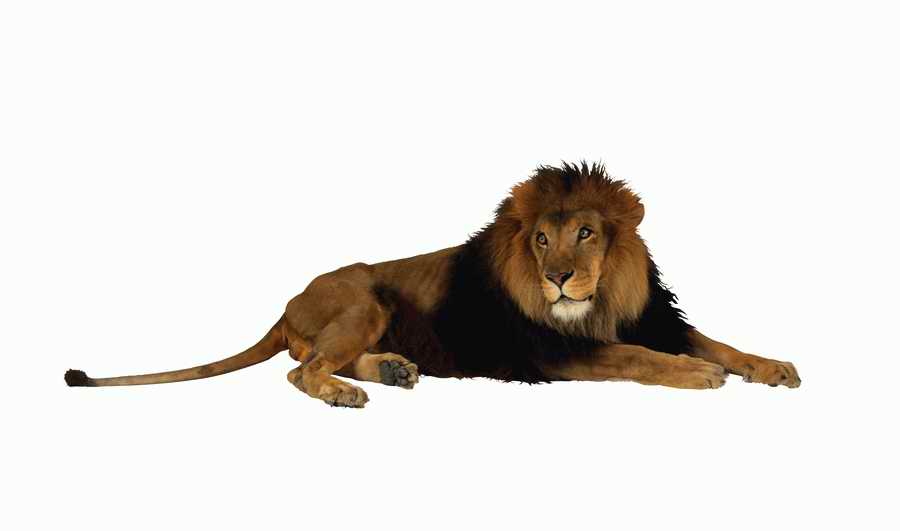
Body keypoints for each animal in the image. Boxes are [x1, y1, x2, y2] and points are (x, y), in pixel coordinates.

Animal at [65, 162, 801, 407]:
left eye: (587, 233)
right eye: (541, 239)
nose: (557, 278)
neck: (601, 299)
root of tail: (287, 302)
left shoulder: (651, 317)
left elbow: (717, 341)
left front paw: (774, 366)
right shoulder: (554, 350)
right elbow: (641, 358)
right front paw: (699, 374)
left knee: (312, 360)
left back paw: (392, 370)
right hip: (363, 298)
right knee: (300, 371)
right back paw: (347, 392)